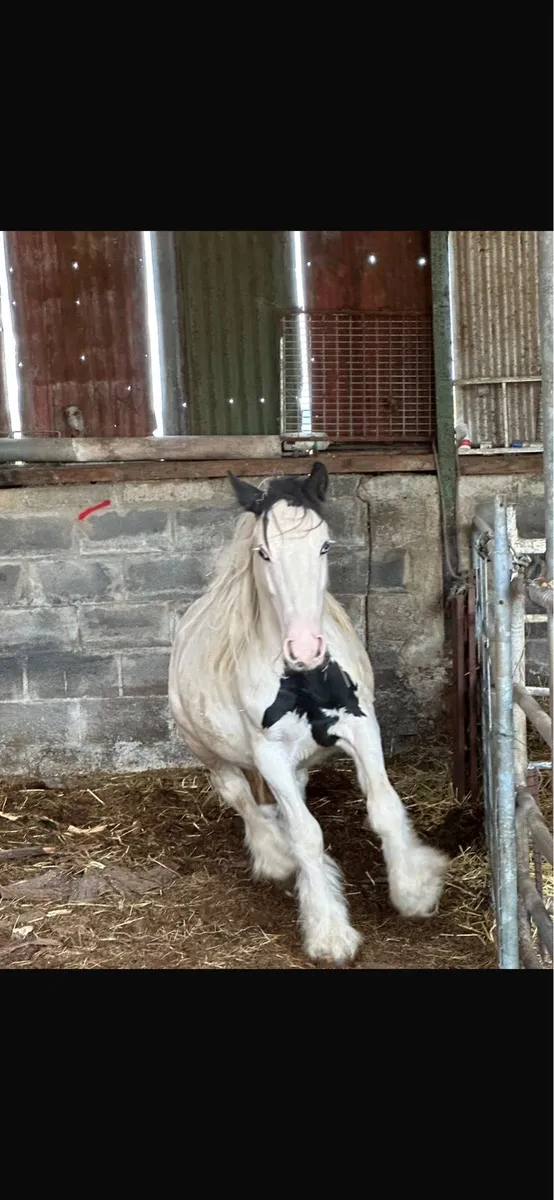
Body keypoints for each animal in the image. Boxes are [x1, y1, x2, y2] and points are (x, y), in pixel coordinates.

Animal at [169, 462, 449, 966]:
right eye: (263, 552)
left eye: (324, 545)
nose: (304, 650)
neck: (302, 680)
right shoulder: (270, 757)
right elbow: (307, 836)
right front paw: (329, 934)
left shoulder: (361, 728)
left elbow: (384, 807)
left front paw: (415, 889)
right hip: (209, 753)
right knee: (241, 798)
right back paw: (274, 857)